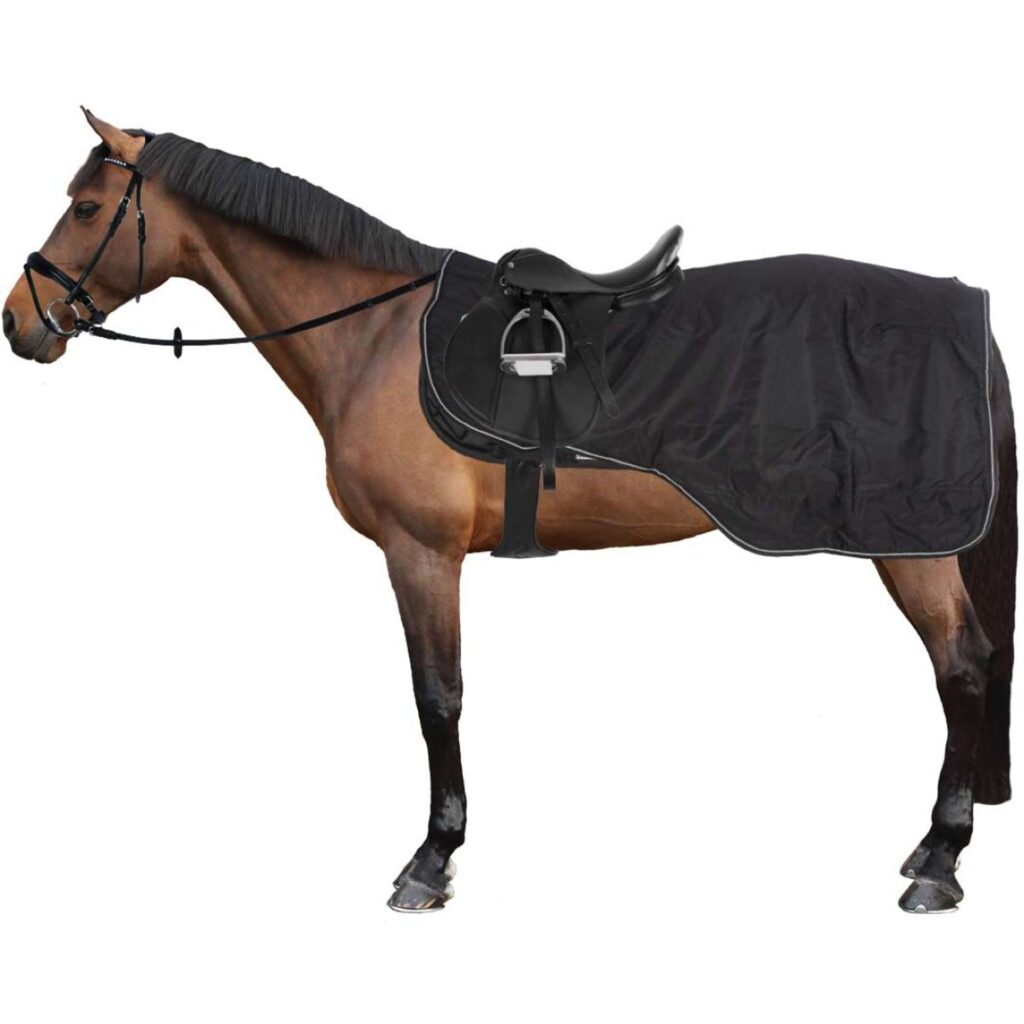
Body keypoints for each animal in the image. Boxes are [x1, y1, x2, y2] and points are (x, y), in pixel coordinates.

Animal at [3, 109, 1016, 914]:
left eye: (86, 208)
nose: (20, 321)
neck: (373, 335)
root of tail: (964, 308)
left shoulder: (420, 553)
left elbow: (437, 697)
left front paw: (432, 859)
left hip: (913, 547)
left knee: (962, 667)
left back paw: (940, 861)